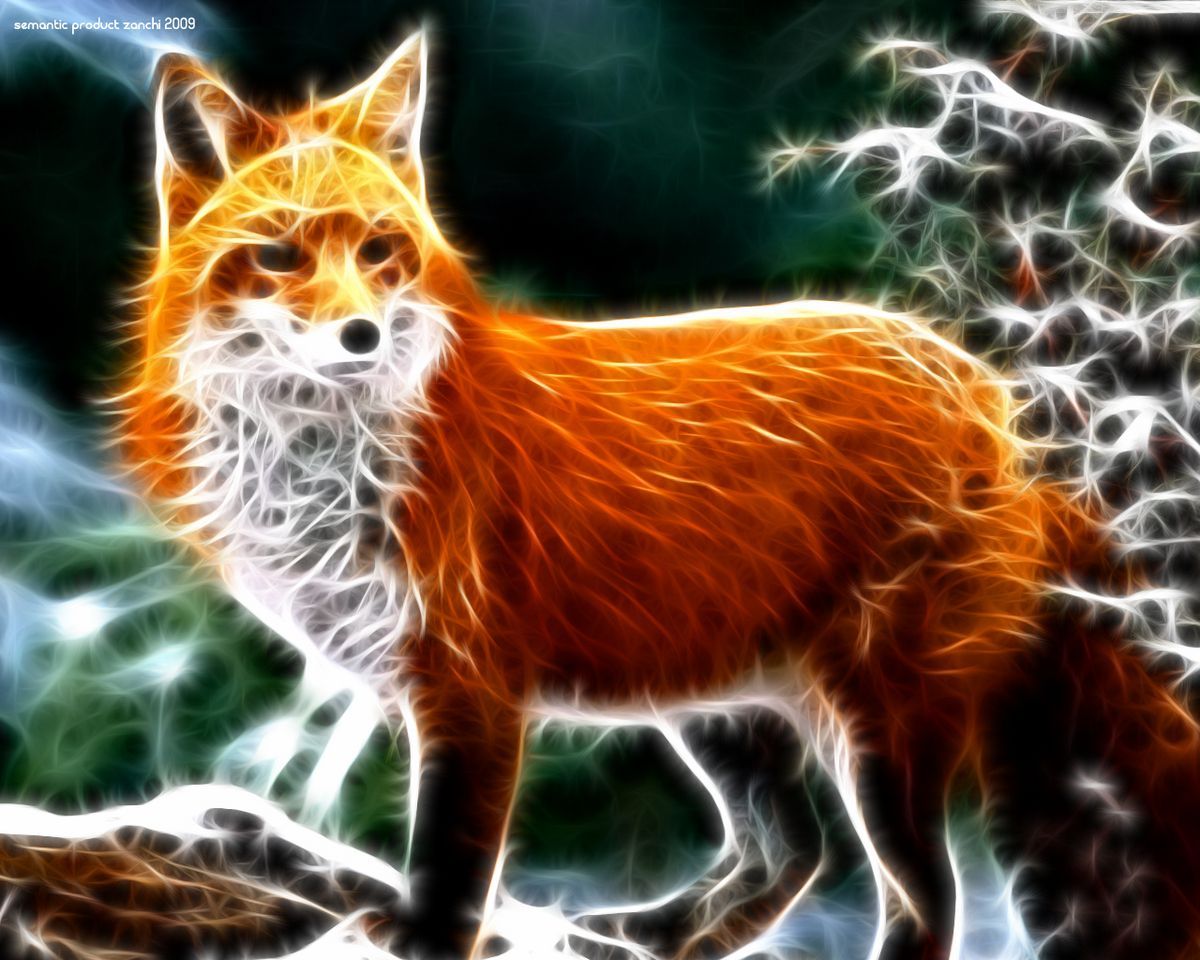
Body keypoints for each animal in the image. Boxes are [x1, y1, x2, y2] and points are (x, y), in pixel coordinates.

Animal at [82, 28, 1200, 960]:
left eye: (378, 251)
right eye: (277, 256)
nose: (358, 336)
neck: (324, 463)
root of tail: (997, 401)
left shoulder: (472, 689)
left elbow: (449, 864)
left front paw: (423, 937)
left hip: (878, 729)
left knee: (926, 897)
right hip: (720, 703)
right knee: (788, 854)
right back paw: (652, 938)